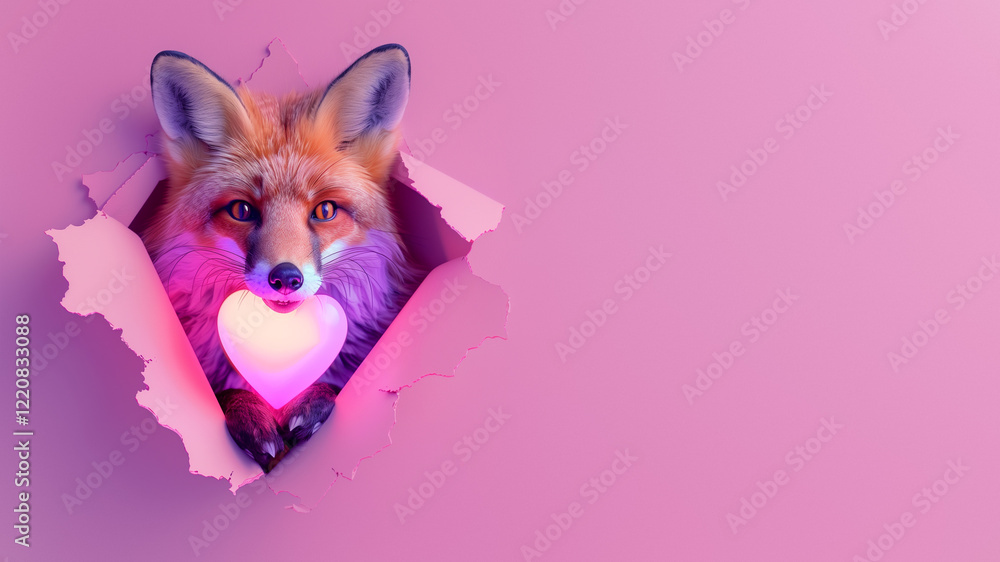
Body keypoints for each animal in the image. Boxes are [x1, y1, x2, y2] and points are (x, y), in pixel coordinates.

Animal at [142, 45, 420, 472]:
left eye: (325, 211)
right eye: (241, 210)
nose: (286, 278)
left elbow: (333, 386)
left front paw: (311, 401)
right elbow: (224, 394)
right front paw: (249, 414)